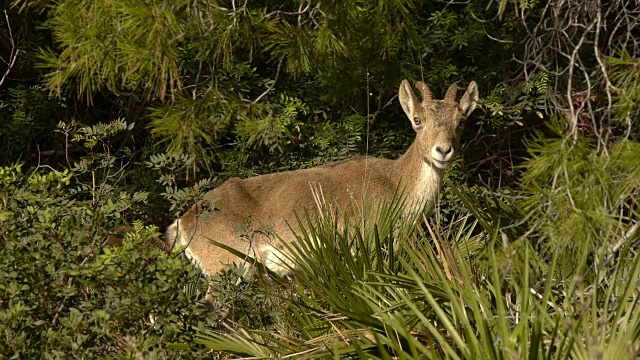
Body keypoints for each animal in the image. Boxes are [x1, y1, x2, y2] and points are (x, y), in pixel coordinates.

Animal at [168, 79, 478, 276]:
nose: (443, 150)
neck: (396, 184)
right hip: (225, 266)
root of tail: (183, 223)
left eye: (461, 121)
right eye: (417, 120)